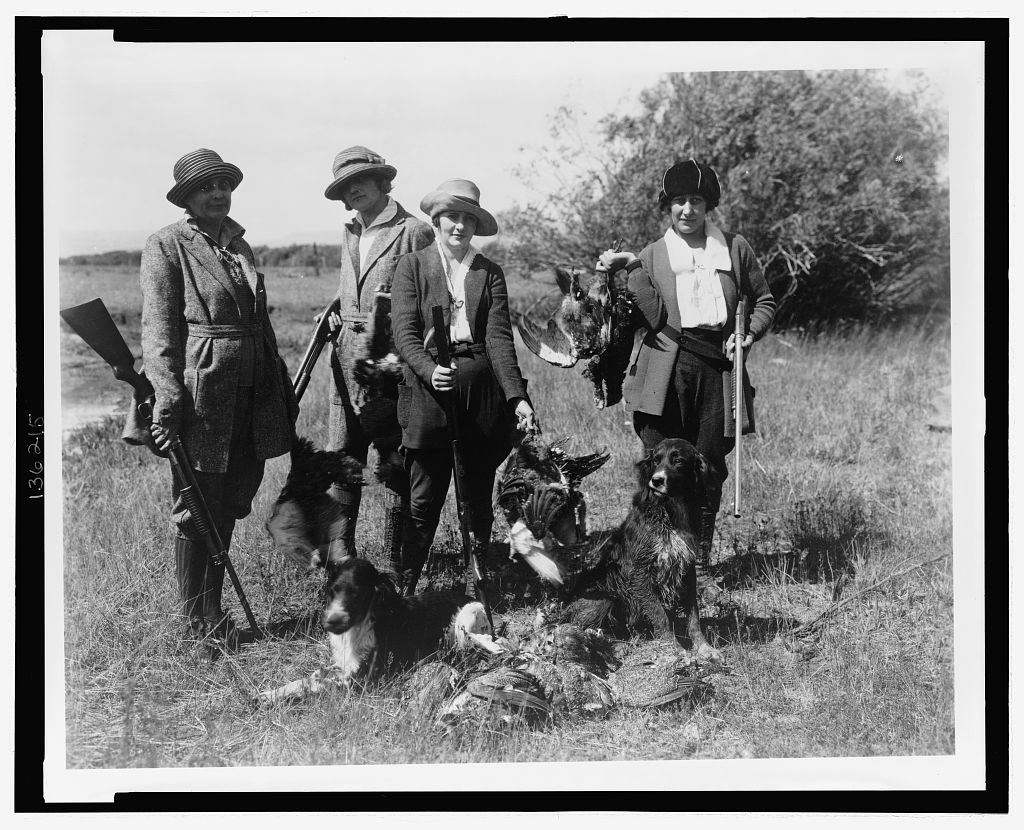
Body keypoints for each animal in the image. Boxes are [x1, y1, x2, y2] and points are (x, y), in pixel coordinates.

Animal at [258, 556, 493, 700]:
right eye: (332, 590)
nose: (330, 622)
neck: (360, 626)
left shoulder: (363, 678)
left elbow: (314, 682)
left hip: (468, 618)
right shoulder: (344, 664)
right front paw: (270, 694)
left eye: (356, 593)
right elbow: (311, 676)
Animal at [561, 442, 720, 663]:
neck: (671, 512)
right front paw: (676, 650)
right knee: (580, 628)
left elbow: (694, 617)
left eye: (678, 460)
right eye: (656, 460)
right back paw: (616, 646)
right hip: (605, 598)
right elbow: (660, 615)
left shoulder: (687, 569)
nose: (656, 480)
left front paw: (704, 648)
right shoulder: (640, 572)